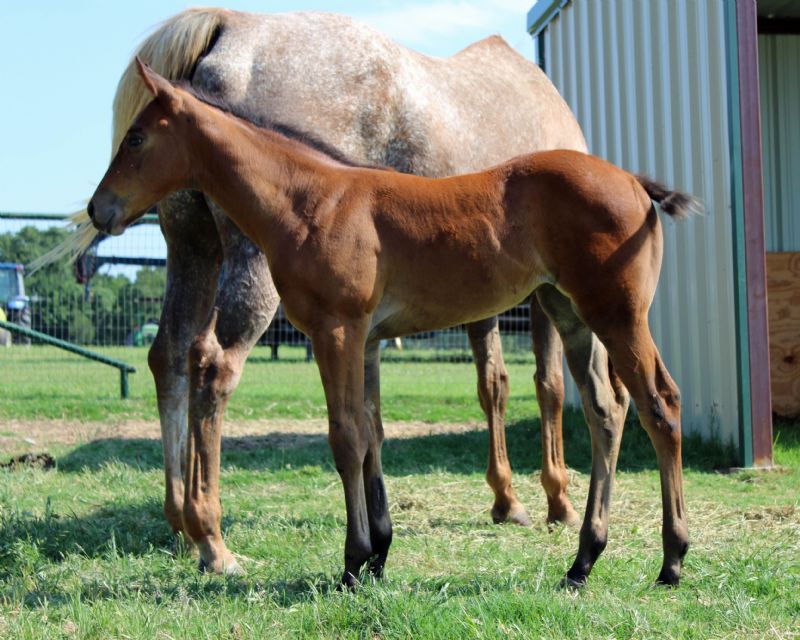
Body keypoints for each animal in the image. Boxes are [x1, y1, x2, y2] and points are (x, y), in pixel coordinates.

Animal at [90, 62, 696, 588]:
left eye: (136, 139)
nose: (99, 209)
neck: (312, 199)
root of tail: (635, 183)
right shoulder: (368, 342)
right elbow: (372, 434)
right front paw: (378, 553)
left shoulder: (336, 331)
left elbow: (345, 438)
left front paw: (353, 561)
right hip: (571, 316)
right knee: (606, 413)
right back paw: (583, 561)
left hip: (617, 315)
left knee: (659, 406)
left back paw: (671, 560)